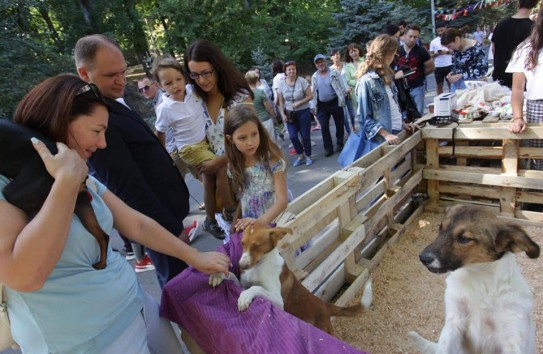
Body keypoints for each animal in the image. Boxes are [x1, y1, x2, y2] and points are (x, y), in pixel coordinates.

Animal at [210, 224, 372, 334]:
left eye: (257, 246)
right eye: (242, 243)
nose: (241, 265)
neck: (260, 265)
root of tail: (325, 305)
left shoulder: (278, 300)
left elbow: (256, 287)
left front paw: (244, 298)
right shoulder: (242, 284)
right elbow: (232, 277)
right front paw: (217, 275)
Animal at [408, 205, 540, 354]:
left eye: (464, 239)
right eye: (440, 228)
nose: (422, 258)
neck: (479, 279)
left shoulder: (513, 336)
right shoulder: (455, 320)